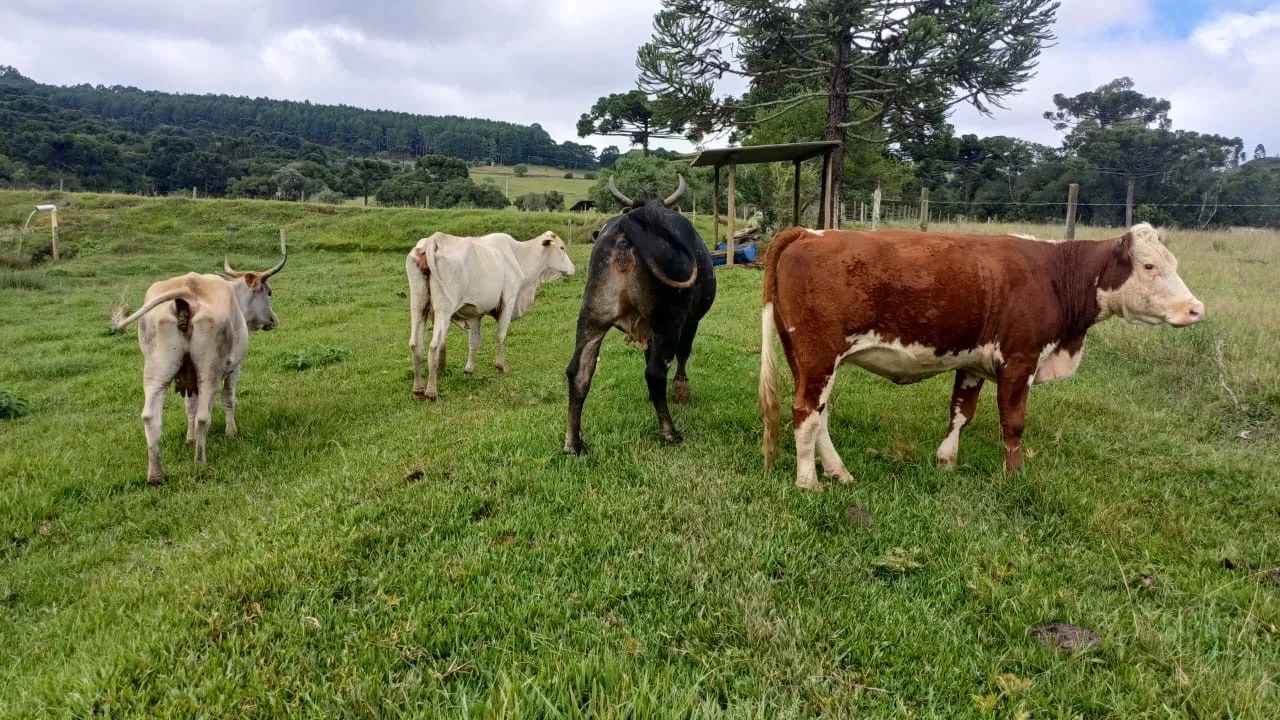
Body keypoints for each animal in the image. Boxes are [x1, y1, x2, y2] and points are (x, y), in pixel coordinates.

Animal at [112, 236, 287, 485]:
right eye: (269, 292)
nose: (274, 319)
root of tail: (185, 293)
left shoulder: (188, 376)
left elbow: (189, 407)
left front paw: (190, 438)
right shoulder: (235, 367)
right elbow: (228, 398)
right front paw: (231, 432)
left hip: (157, 368)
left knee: (150, 416)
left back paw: (156, 474)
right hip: (209, 370)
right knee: (205, 415)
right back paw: (200, 464)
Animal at [406, 230, 575, 400]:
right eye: (562, 248)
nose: (573, 268)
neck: (519, 255)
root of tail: (433, 240)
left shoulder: (475, 314)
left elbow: (474, 342)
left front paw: (469, 369)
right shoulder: (509, 300)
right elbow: (500, 336)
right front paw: (501, 366)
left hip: (418, 305)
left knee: (415, 344)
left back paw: (418, 388)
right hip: (443, 309)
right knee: (434, 346)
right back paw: (431, 392)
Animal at [563, 176, 717, 453]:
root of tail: (631, 223)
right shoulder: (691, 320)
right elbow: (683, 353)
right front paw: (681, 388)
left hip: (592, 315)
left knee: (578, 371)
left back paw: (573, 443)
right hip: (669, 319)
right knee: (656, 372)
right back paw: (669, 433)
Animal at [759, 223, 1204, 490]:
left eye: (1173, 263)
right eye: (1149, 266)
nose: (1196, 309)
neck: (1055, 275)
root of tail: (811, 233)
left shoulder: (972, 362)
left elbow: (961, 412)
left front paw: (947, 460)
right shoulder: (1021, 359)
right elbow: (1014, 423)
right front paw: (1014, 477)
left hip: (804, 356)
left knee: (820, 414)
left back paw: (839, 472)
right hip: (819, 353)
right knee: (805, 412)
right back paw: (808, 482)